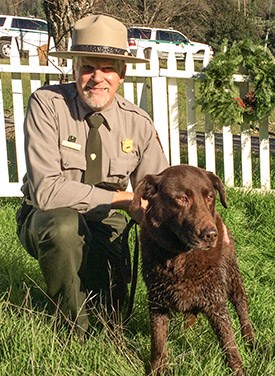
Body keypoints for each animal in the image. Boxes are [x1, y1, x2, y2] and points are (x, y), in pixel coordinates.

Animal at [130, 165, 256, 376]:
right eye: (182, 198)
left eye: (210, 197)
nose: (211, 235)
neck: (180, 257)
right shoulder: (156, 304)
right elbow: (158, 345)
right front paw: (156, 370)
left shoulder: (216, 304)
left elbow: (229, 345)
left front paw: (238, 370)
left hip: (233, 278)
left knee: (242, 307)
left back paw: (250, 341)